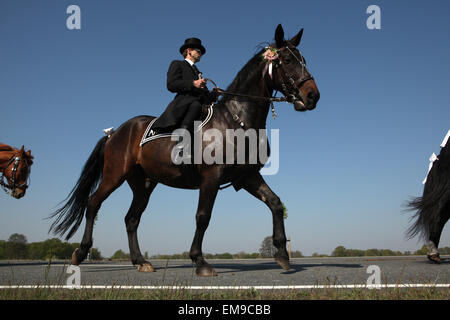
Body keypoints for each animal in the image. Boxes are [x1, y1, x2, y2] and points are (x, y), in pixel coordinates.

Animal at [49, 24, 320, 276]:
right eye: (287, 61)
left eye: (304, 60)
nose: (312, 96)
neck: (235, 120)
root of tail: (115, 132)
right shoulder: (211, 178)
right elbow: (203, 217)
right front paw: (199, 261)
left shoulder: (247, 176)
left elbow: (275, 203)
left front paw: (282, 253)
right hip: (114, 175)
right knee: (93, 203)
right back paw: (80, 253)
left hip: (143, 184)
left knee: (132, 219)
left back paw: (140, 261)